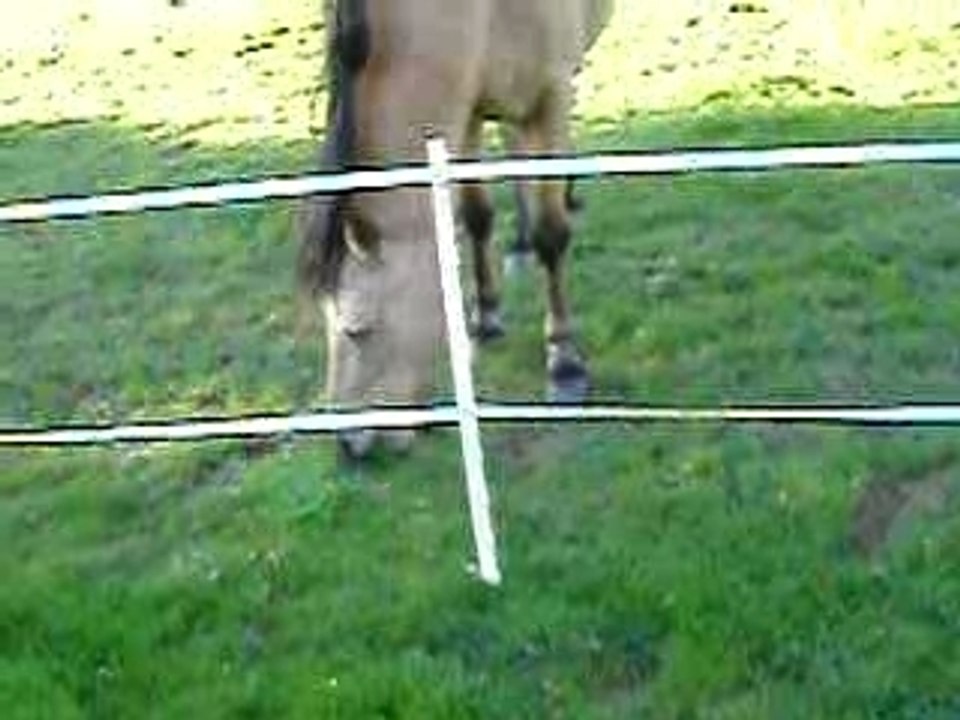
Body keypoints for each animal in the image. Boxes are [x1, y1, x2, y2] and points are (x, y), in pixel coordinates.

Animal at [298, 0, 614, 458]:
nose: (348, 447)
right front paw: (486, 319)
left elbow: (551, 237)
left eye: (356, 331)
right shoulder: (466, 115)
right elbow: (477, 217)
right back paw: (519, 244)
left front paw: (565, 362)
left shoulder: (551, 98)